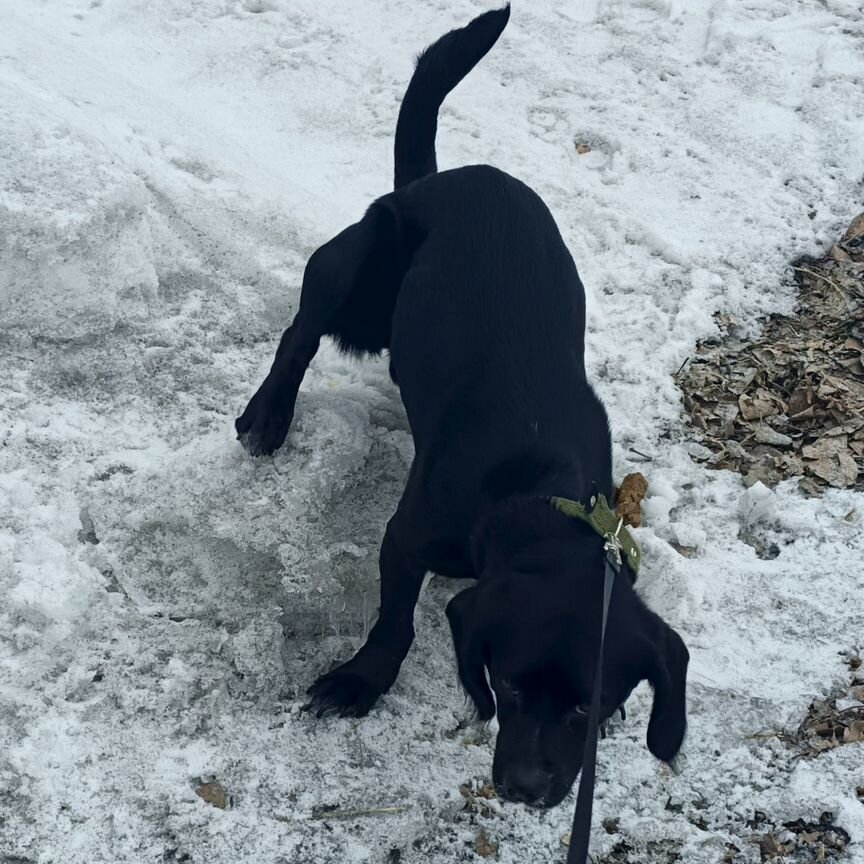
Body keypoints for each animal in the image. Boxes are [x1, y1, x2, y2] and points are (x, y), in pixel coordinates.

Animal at [238, 3, 688, 808]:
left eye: (590, 705)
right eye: (506, 685)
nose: (528, 789)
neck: (539, 489)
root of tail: (441, 179)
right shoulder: (407, 536)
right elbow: (395, 619)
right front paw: (360, 682)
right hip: (356, 263)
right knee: (301, 330)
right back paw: (268, 414)